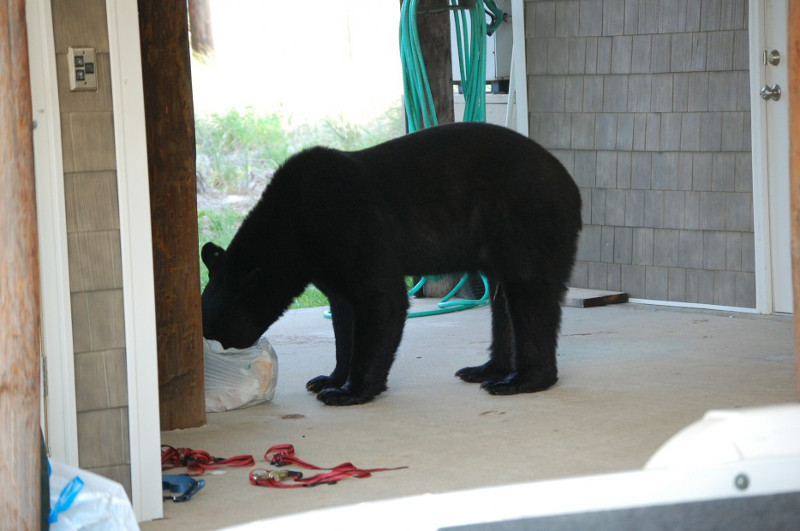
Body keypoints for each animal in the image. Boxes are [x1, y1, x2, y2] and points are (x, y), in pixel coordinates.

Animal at [202, 122, 580, 408]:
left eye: (214, 329)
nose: (210, 355)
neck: (294, 226)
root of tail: (572, 187)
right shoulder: (327, 264)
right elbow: (343, 315)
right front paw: (329, 377)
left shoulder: (350, 226)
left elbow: (382, 298)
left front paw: (348, 391)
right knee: (503, 305)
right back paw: (486, 370)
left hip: (524, 219)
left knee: (529, 294)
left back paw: (521, 380)